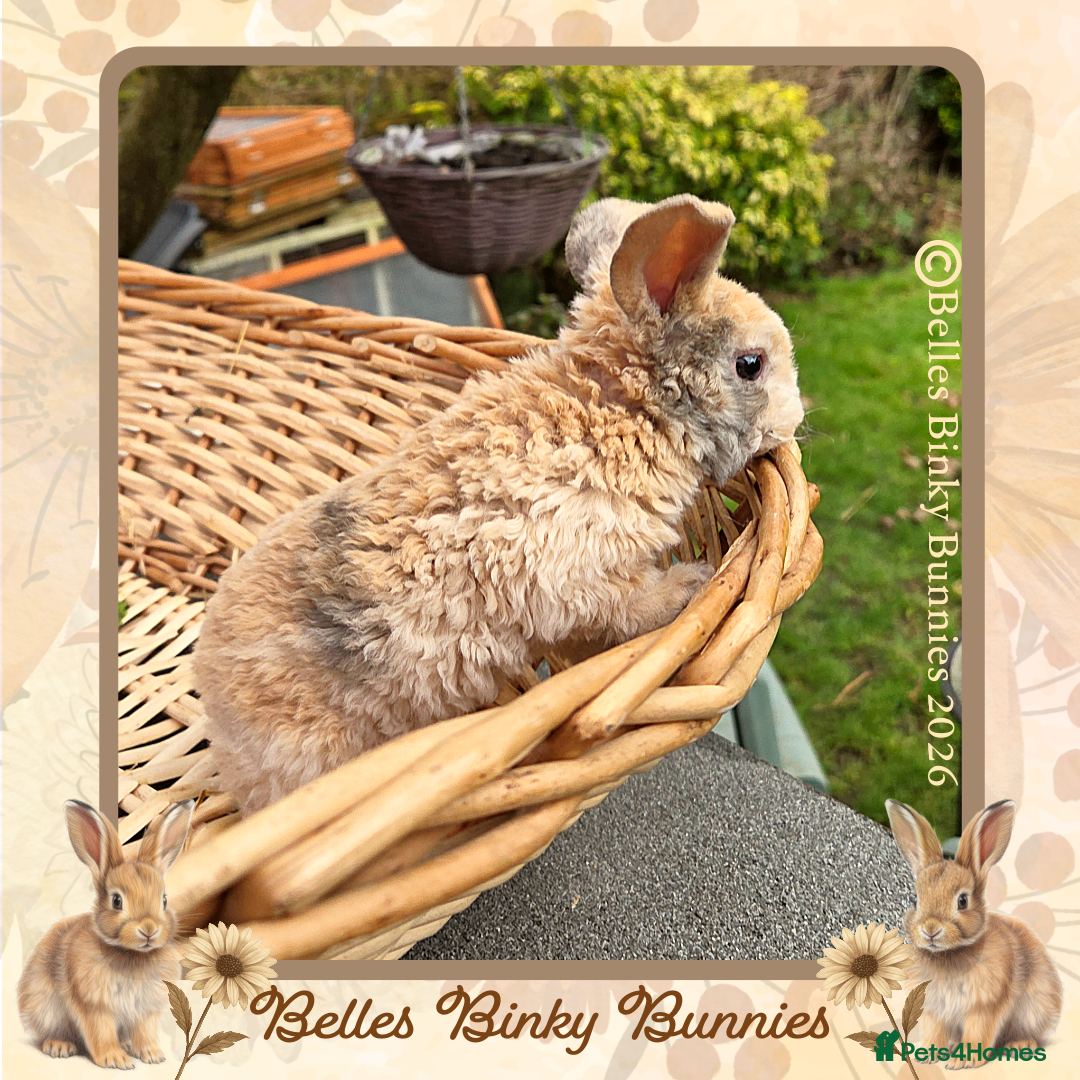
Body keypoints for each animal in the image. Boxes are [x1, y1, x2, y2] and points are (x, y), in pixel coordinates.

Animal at [17, 799, 194, 1069]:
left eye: (164, 900)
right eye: (117, 900)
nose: (149, 930)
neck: (131, 954)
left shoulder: (145, 1009)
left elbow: (145, 1031)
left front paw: (152, 1055)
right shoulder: (95, 1005)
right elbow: (101, 1032)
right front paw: (116, 1060)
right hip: (46, 1008)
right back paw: (59, 1046)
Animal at [193, 193, 805, 813]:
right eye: (750, 365)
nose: (795, 421)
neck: (628, 410)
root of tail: (222, 735)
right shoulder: (575, 576)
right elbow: (630, 606)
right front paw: (691, 585)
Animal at [886, 799, 1063, 1067]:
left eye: (962, 901)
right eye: (915, 900)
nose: (930, 930)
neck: (949, 954)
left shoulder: (984, 1005)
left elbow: (978, 1031)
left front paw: (963, 1061)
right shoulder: (935, 1009)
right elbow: (934, 1031)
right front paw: (927, 1056)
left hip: (1033, 1009)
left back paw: (1019, 1045)